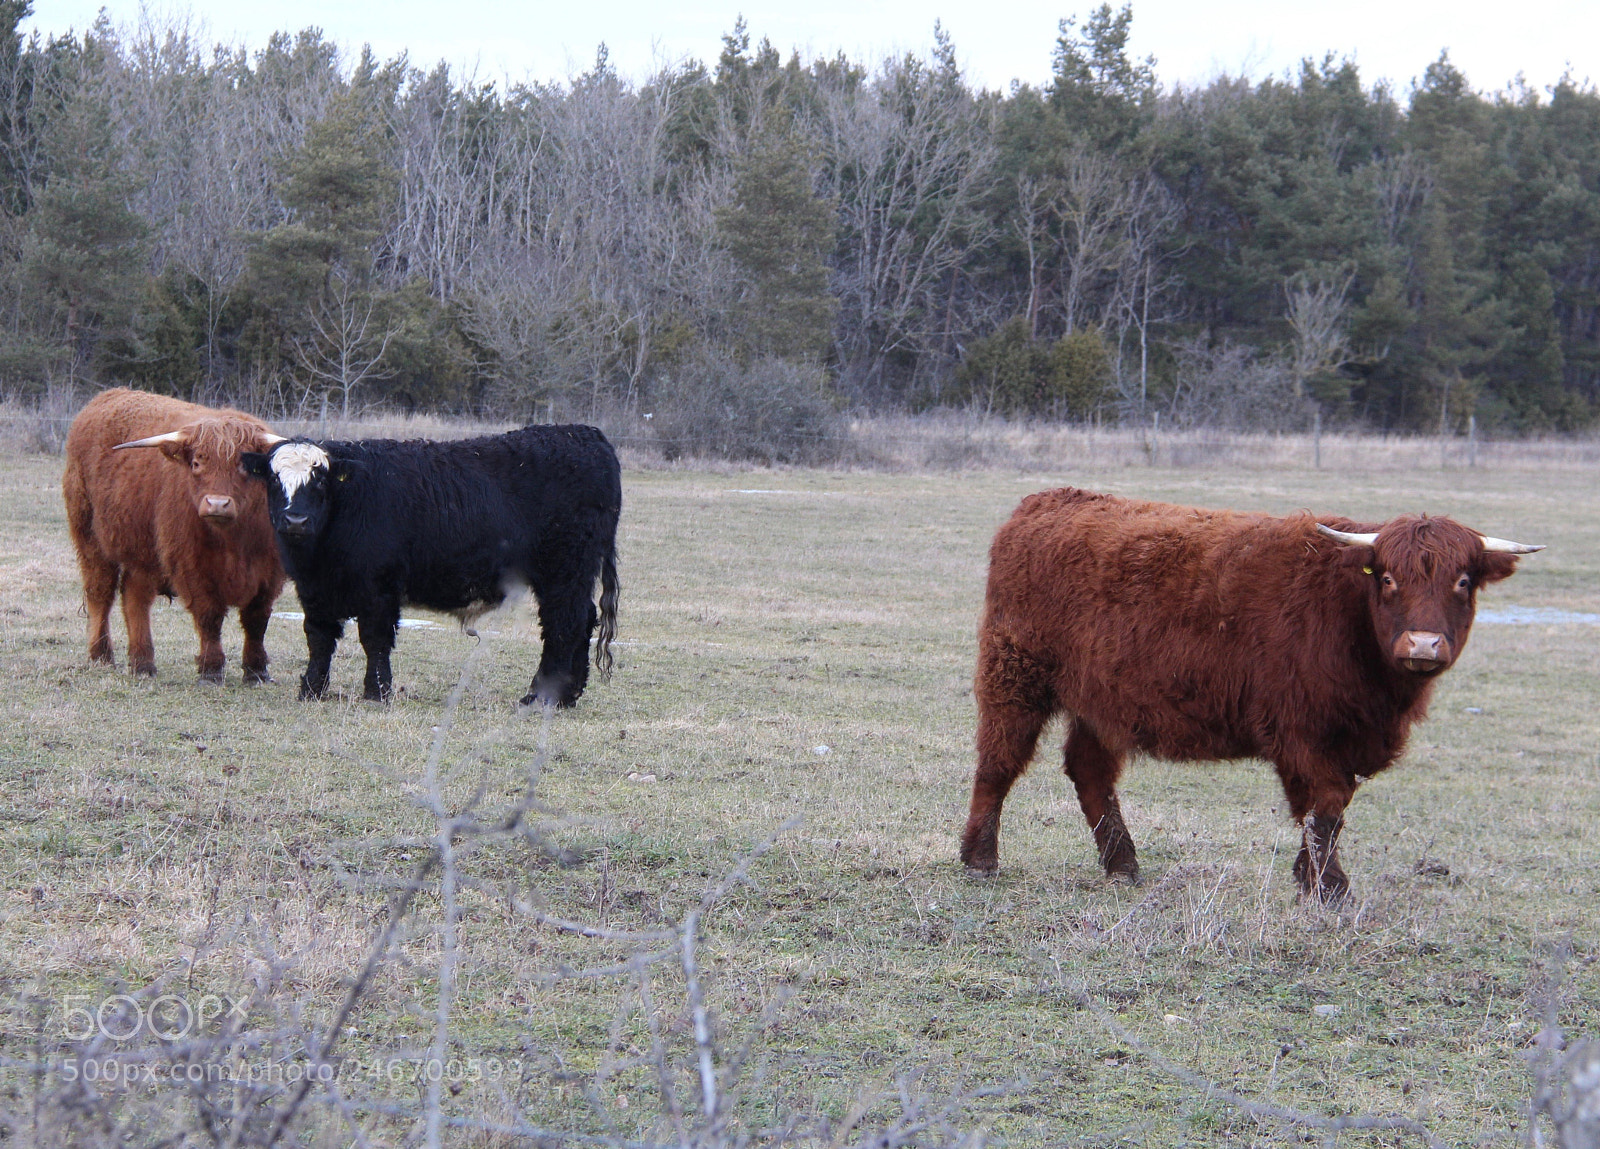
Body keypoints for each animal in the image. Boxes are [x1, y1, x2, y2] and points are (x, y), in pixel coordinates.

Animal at [61, 388, 287, 683]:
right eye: (196, 463)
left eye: (244, 466)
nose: (217, 504)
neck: (233, 543)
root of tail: (107, 396)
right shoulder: (192, 567)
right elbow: (209, 616)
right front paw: (211, 669)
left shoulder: (270, 573)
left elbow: (257, 621)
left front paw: (257, 670)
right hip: (90, 539)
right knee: (100, 593)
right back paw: (102, 656)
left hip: (142, 553)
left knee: (135, 597)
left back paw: (142, 663)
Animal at [240, 425, 621, 707]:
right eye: (274, 479)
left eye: (320, 480)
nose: (295, 520)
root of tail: (586, 435)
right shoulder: (314, 589)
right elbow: (319, 638)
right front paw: (311, 689)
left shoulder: (379, 588)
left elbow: (375, 638)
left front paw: (377, 692)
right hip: (573, 574)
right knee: (583, 619)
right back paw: (568, 694)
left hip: (564, 570)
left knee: (564, 624)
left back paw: (541, 696)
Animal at [960, 488, 1543, 902]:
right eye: (1388, 579)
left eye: (1463, 581)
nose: (1422, 644)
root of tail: (1046, 501)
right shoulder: (1301, 731)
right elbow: (1324, 804)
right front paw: (1328, 886)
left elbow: (1332, 810)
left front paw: (1311, 877)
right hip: (1014, 676)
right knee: (998, 762)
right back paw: (979, 859)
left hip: (1100, 701)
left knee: (1090, 772)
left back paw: (1122, 865)